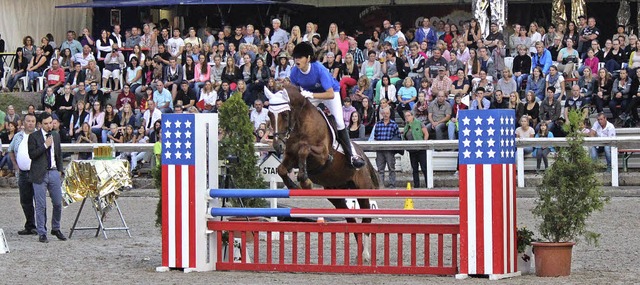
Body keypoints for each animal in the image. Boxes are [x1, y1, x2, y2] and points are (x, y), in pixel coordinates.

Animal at [262, 85, 378, 262]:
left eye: (285, 114)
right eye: (269, 114)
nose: (277, 146)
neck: (300, 124)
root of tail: (363, 155)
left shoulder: (322, 155)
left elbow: (304, 149)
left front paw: (305, 181)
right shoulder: (290, 157)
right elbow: (282, 169)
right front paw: (295, 185)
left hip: (362, 189)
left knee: (366, 218)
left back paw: (365, 255)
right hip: (335, 193)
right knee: (351, 219)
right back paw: (360, 253)